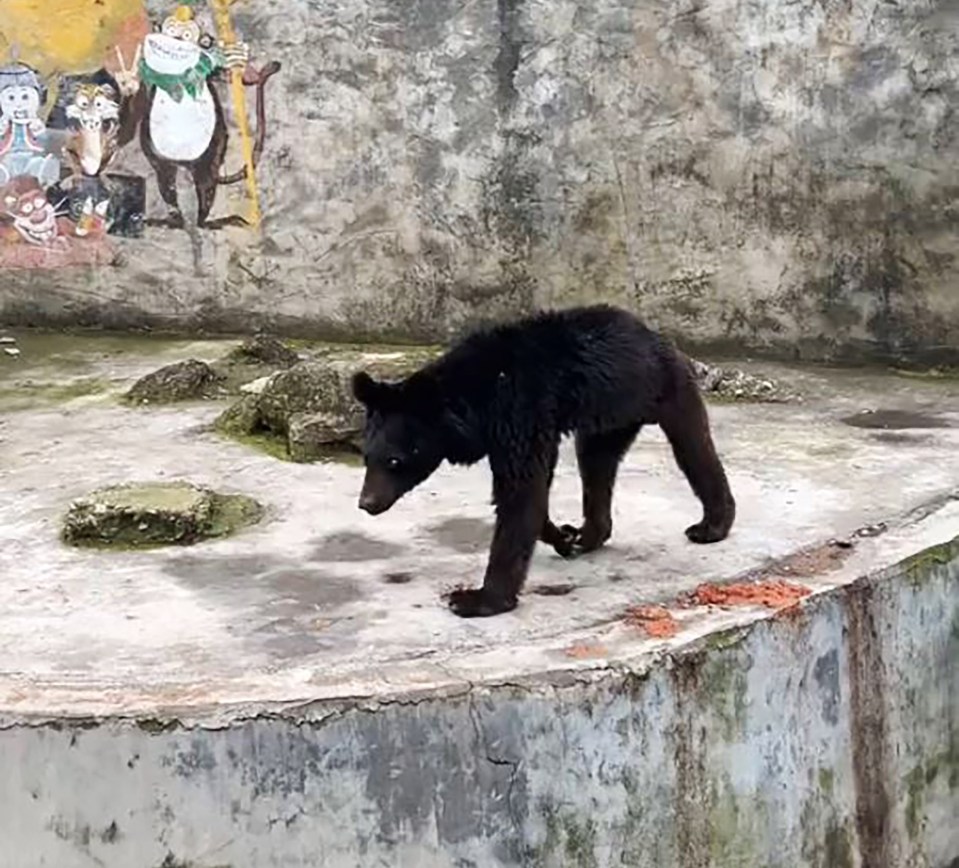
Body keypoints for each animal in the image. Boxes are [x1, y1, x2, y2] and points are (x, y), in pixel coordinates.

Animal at [352, 306, 736, 616]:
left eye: (395, 461)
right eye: (367, 457)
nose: (366, 503)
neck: (473, 405)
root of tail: (655, 335)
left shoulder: (518, 413)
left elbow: (520, 495)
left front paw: (476, 599)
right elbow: (530, 492)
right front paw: (561, 535)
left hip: (661, 389)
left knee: (693, 447)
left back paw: (711, 525)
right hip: (606, 419)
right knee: (596, 465)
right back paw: (588, 534)